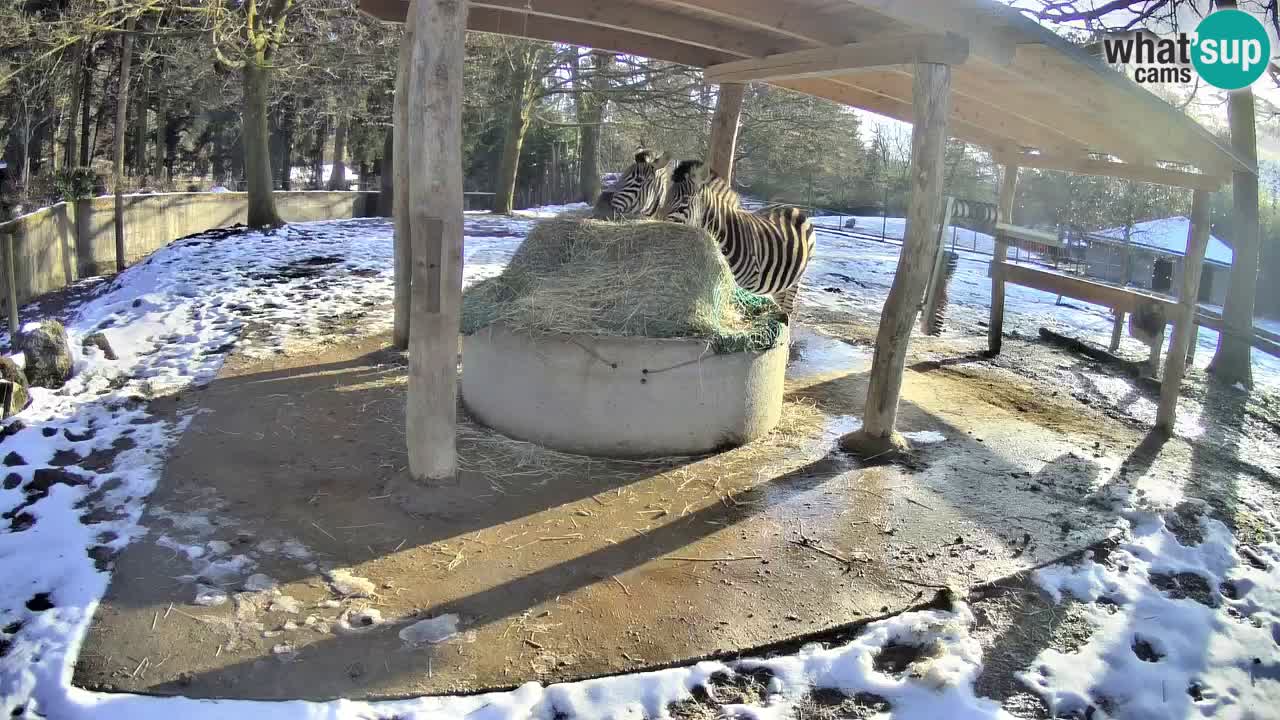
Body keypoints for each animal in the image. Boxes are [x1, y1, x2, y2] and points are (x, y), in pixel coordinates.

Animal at [661, 159, 815, 319]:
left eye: (685, 200)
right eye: (666, 197)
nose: (659, 223)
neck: (725, 233)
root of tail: (793, 208)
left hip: (795, 280)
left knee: (789, 309)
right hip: (780, 284)